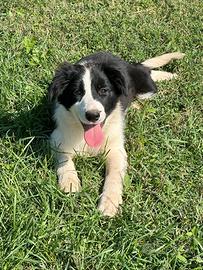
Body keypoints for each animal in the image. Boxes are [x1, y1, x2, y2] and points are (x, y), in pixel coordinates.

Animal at [48, 51, 184, 217]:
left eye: (104, 91)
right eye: (77, 92)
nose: (93, 115)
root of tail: (128, 64)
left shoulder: (115, 150)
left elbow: (113, 176)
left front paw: (109, 203)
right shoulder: (57, 138)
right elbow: (64, 159)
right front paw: (69, 182)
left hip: (146, 89)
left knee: (148, 73)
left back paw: (169, 75)